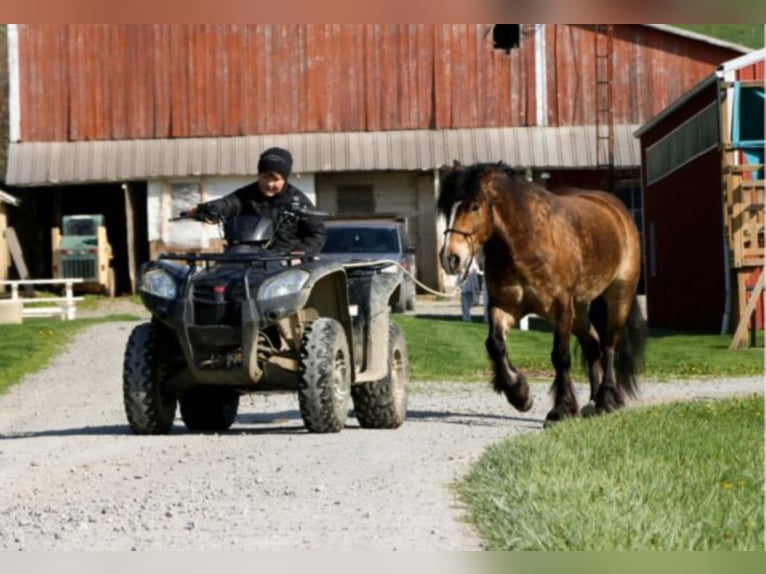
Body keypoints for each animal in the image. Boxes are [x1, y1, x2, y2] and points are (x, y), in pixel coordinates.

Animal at [438, 163, 648, 428]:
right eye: (448, 208)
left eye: (475, 205)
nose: (451, 258)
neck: (528, 243)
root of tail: (617, 210)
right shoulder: (504, 307)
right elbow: (495, 344)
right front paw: (519, 394)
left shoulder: (561, 309)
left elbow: (560, 356)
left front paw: (560, 409)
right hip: (579, 311)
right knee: (593, 346)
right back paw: (592, 401)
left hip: (617, 297)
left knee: (609, 345)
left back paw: (607, 400)